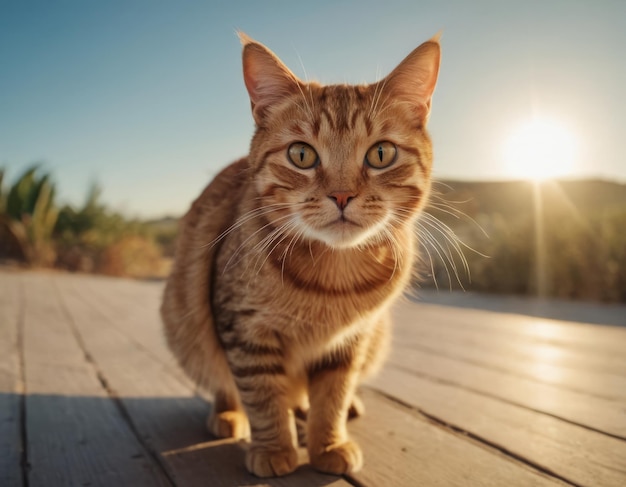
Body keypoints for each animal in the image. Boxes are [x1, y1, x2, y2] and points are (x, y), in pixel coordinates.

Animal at [163, 32, 442, 478]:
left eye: (381, 154)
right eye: (301, 154)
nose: (342, 195)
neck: (332, 279)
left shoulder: (352, 340)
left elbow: (332, 396)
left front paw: (328, 442)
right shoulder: (243, 328)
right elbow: (262, 394)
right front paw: (276, 448)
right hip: (183, 319)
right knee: (223, 381)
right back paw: (228, 415)